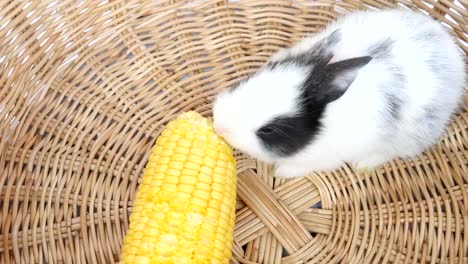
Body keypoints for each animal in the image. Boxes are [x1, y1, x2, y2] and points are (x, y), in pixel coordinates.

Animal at [212, 8, 464, 178]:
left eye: (268, 129)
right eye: (248, 80)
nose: (219, 126)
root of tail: (449, 47)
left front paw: (281, 172)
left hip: (411, 136)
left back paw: (364, 166)